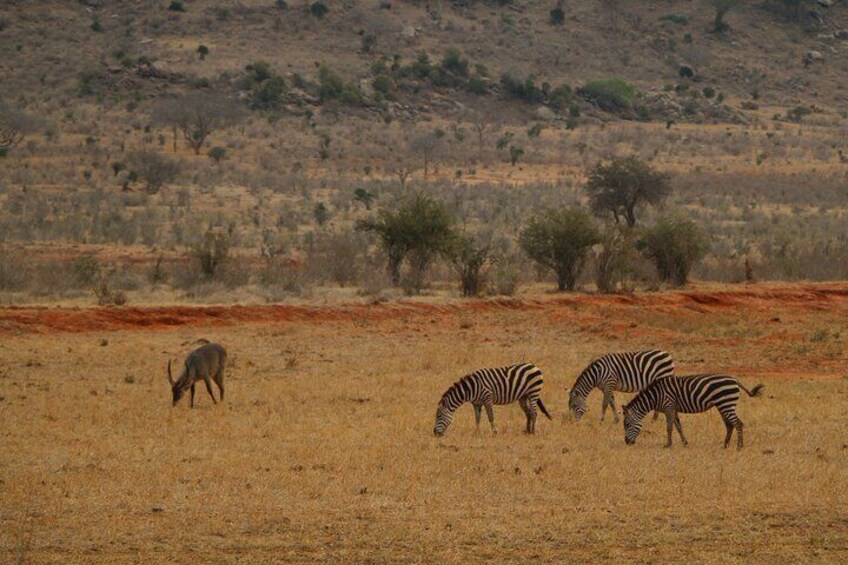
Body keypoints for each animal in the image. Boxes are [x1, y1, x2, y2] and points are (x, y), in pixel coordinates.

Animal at [624, 374, 760, 450]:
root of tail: (734, 380)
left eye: (627, 425)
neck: (656, 395)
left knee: (738, 423)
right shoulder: (674, 408)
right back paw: (725, 445)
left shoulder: (669, 407)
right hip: (723, 405)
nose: (627, 442)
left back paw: (739, 446)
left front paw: (667, 445)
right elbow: (678, 426)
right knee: (729, 425)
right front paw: (685, 442)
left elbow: (669, 427)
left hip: (726, 404)